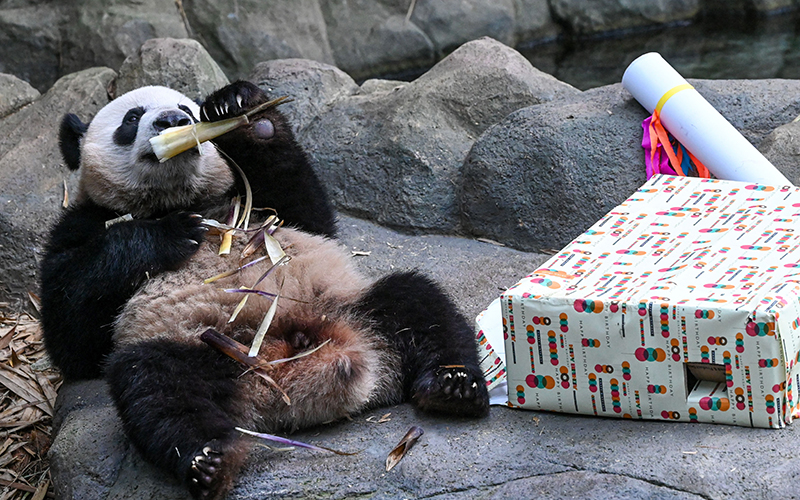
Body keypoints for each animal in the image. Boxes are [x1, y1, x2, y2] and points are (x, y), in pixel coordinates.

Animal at [42, 80, 494, 498]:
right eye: (131, 117)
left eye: (187, 109)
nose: (172, 121)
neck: (177, 198)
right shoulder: (80, 224)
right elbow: (72, 335)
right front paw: (171, 233)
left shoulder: (256, 204)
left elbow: (306, 212)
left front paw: (241, 108)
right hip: (205, 347)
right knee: (155, 386)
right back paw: (209, 461)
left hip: (350, 304)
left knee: (417, 302)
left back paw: (453, 385)